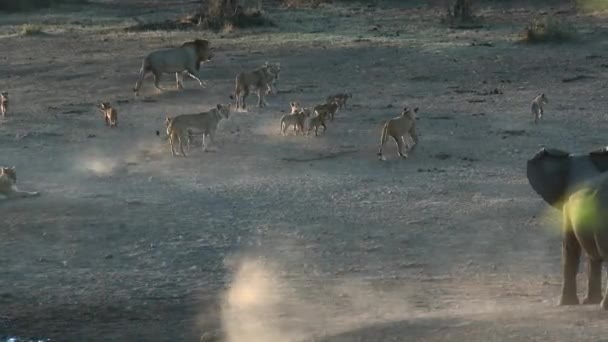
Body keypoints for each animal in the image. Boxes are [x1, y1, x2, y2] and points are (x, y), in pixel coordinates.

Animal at [528, 146, 608, 308]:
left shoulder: (567, 208)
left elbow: (570, 248)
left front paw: (563, 304)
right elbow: (590, 254)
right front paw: (590, 302)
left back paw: (604, 306)